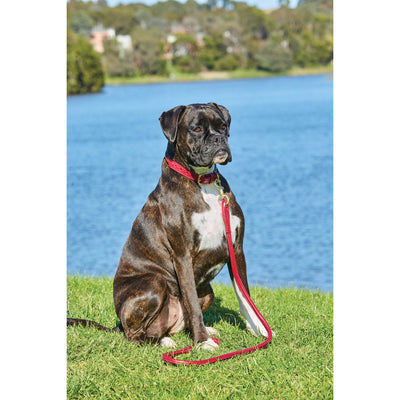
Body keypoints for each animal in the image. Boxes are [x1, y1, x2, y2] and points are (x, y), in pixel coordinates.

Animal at [68, 103, 268, 350]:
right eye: (197, 129)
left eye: (223, 126)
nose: (219, 139)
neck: (203, 182)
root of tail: (120, 324)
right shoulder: (183, 256)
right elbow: (192, 302)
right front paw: (202, 342)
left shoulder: (236, 249)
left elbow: (244, 295)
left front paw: (257, 328)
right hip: (153, 283)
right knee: (135, 334)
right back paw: (165, 341)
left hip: (206, 290)